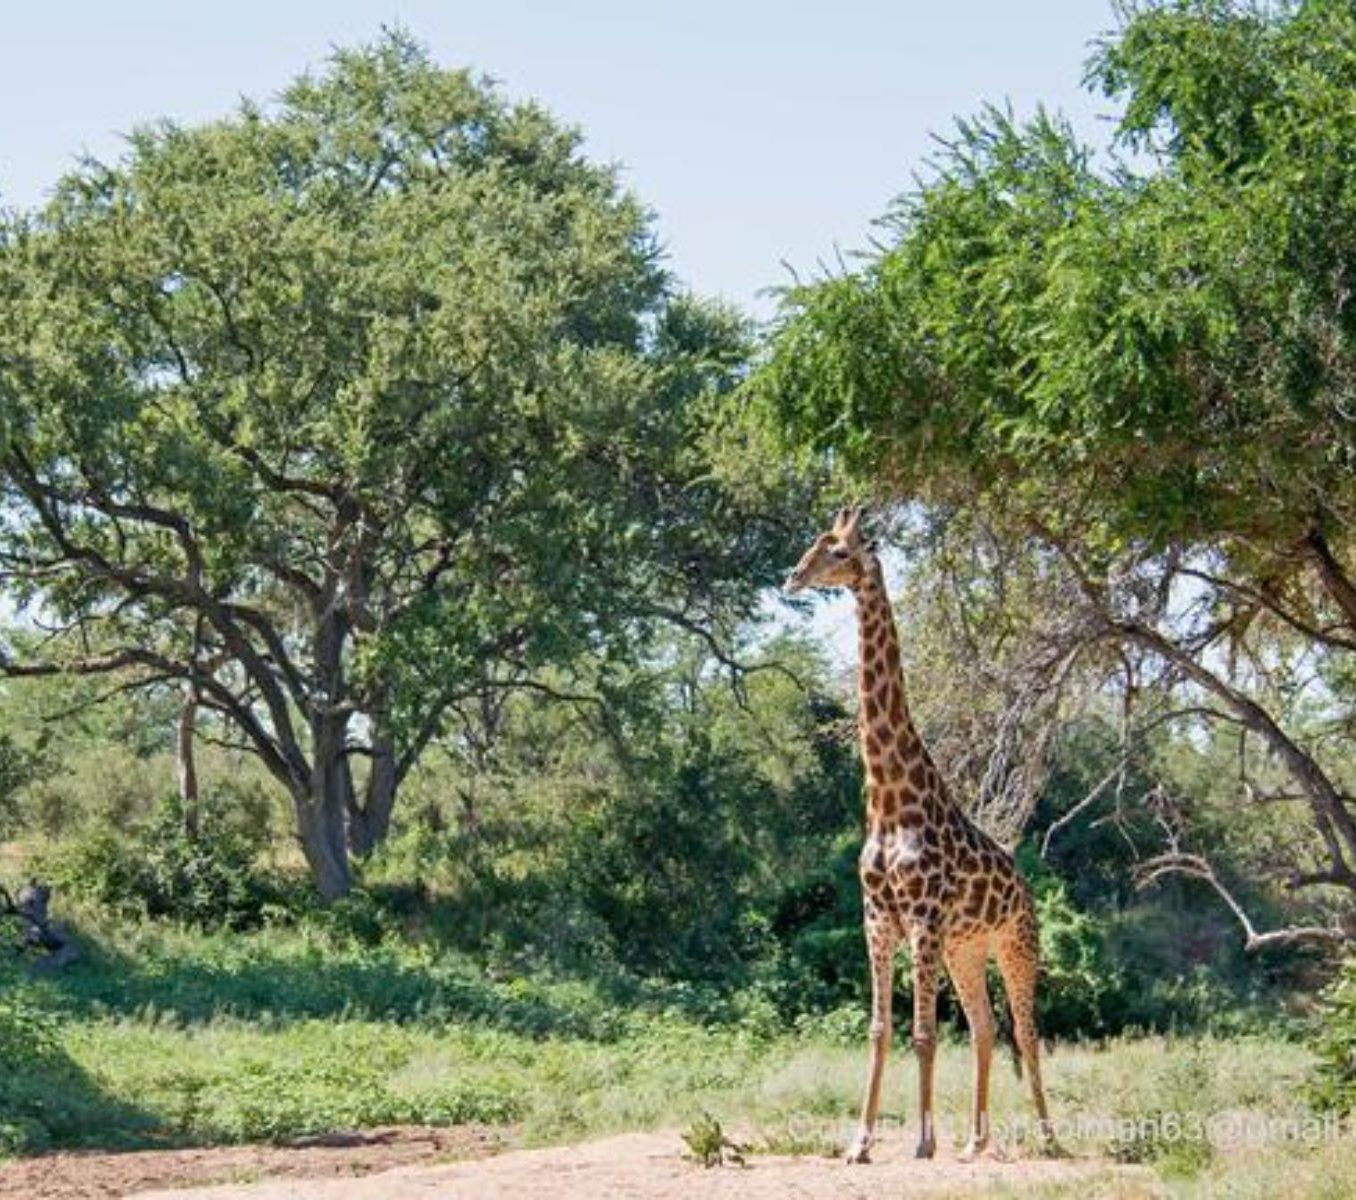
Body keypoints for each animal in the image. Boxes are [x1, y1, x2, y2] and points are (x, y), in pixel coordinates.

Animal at [785, 506, 1053, 1164]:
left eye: (839, 551)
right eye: (815, 545)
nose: (792, 577)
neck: (887, 802)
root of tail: (1025, 888)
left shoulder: (923, 918)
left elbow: (925, 1033)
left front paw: (924, 1143)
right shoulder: (878, 916)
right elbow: (881, 1030)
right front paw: (859, 1144)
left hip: (1016, 944)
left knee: (1027, 1033)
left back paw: (1048, 1137)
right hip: (967, 950)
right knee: (986, 1029)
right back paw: (976, 1143)